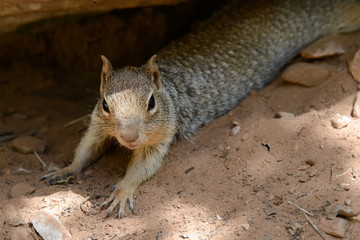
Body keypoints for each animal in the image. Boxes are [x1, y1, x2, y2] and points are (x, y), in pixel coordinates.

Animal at [40, 0, 360, 218]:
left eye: (151, 103)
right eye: (106, 103)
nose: (129, 138)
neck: (168, 89)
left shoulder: (162, 137)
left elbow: (144, 166)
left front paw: (122, 190)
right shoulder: (97, 124)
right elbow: (86, 148)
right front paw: (66, 169)